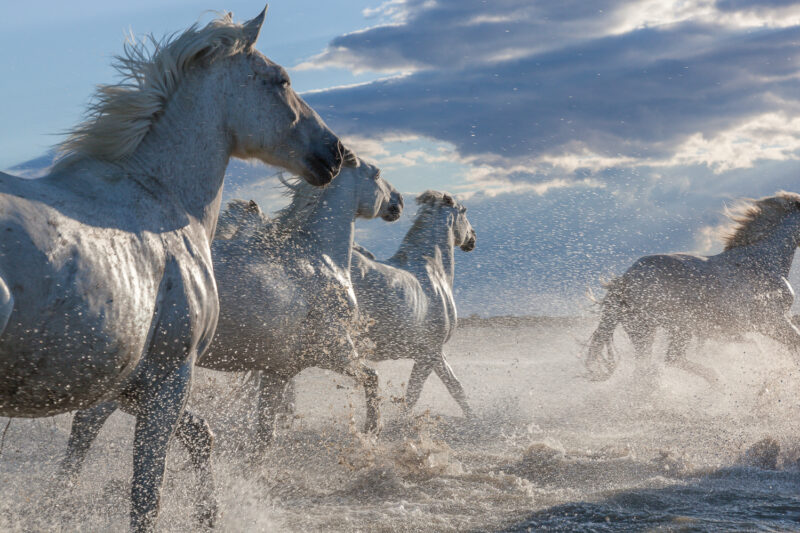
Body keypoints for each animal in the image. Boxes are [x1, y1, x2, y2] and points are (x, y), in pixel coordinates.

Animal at [3, 9, 346, 532]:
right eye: (281, 80)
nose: (335, 153)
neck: (167, 202)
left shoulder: (137, 385)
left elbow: (201, 435)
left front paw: (209, 514)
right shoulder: (170, 379)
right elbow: (147, 499)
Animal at [350, 193, 476, 418]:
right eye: (464, 211)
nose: (473, 238)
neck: (435, 271)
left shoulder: (431, 353)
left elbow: (450, 387)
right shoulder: (430, 353)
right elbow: (417, 395)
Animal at [584, 191, 800, 382]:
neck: (762, 260)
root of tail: (625, 281)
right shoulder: (770, 320)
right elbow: (790, 342)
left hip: (643, 332)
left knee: (650, 370)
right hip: (677, 328)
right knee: (667, 362)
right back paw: (719, 382)